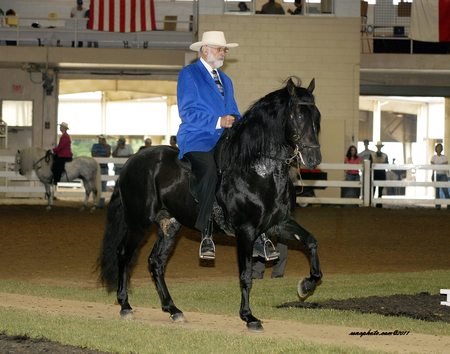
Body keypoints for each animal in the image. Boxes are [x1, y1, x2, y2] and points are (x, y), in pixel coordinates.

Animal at [99, 77, 324, 332]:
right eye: (297, 116)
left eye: (317, 116)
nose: (313, 159)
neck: (259, 170)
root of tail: (131, 162)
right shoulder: (246, 231)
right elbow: (245, 276)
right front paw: (249, 317)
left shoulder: (279, 224)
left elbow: (312, 242)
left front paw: (306, 286)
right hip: (138, 222)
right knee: (124, 253)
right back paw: (125, 306)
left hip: (169, 225)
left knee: (156, 262)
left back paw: (173, 309)